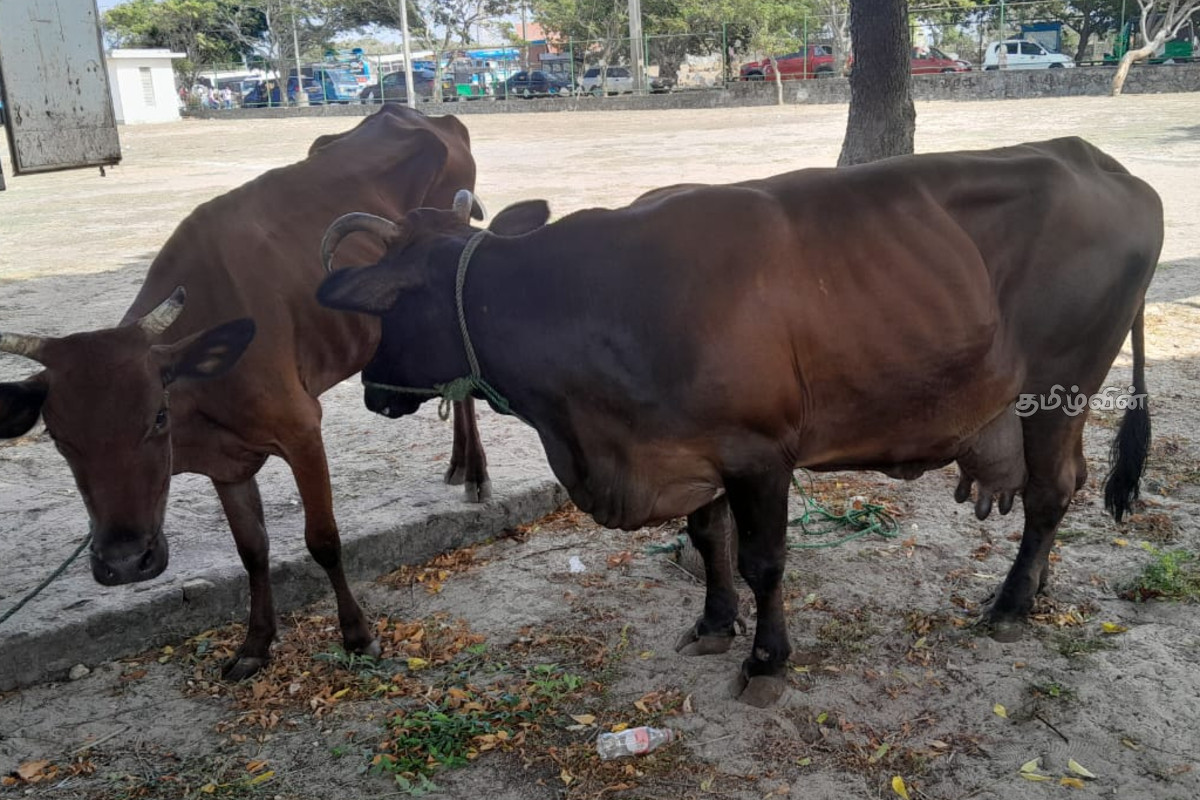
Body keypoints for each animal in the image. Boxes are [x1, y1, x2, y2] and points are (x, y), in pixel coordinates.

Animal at [0, 106, 489, 680]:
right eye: (58, 439)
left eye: (157, 417)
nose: (123, 562)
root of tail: (418, 113)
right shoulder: (226, 461)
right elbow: (251, 549)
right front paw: (255, 644)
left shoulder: (302, 429)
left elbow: (323, 539)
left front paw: (358, 635)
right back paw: (459, 464)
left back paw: (475, 472)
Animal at [315, 137, 1162, 706]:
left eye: (390, 308)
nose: (372, 393)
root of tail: (1101, 162)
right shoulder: (694, 450)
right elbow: (705, 539)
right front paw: (715, 623)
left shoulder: (759, 454)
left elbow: (764, 562)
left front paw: (765, 660)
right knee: (1067, 485)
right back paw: (1037, 589)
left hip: (1061, 386)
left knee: (1051, 493)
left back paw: (1012, 605)